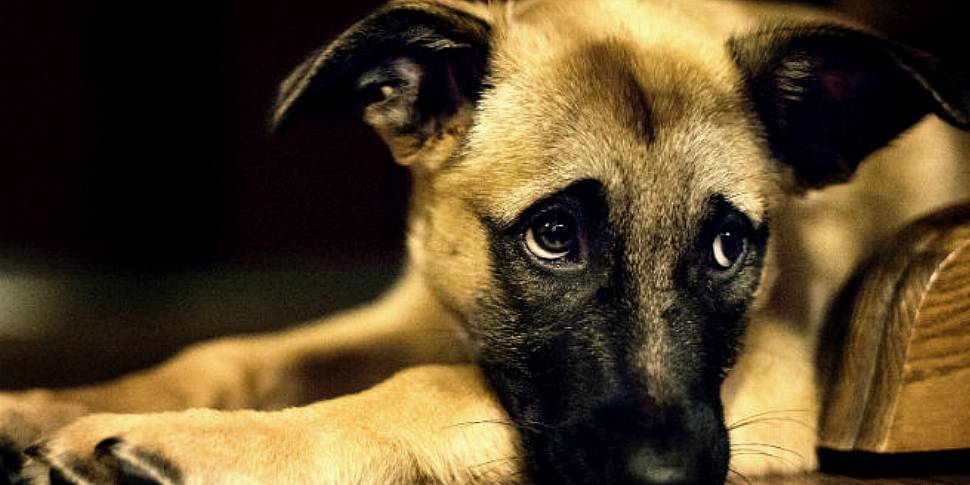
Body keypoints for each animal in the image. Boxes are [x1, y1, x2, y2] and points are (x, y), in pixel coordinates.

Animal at [0, 0, 964, 484]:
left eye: (730, 245)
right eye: (553, 236)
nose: (668, 477)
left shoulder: (775, 388)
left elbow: (429, 387)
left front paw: (193, 443)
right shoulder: (423, 308)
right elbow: (235, 350)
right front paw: (53, 402)